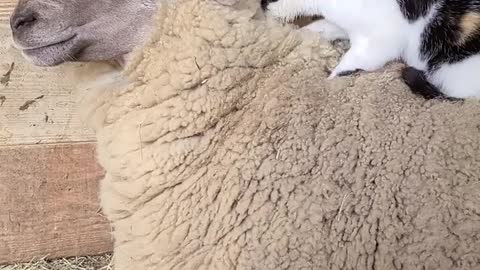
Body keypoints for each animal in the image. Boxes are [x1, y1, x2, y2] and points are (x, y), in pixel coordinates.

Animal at [260, 0, 480, 99]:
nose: (261, 6)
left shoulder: (382, 38)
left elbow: (354, 60)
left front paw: (332, 76)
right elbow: (326, 27)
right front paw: (308, 32)